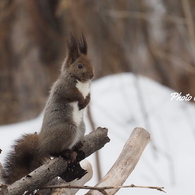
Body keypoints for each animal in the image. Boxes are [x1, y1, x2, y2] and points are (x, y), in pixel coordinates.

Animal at [2, 34, 94, 184]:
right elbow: (71, 94)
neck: (82, 84)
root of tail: (41, 145)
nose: (92, 75)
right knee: (54, 151)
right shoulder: (63, 87)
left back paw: (77, 145)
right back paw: (66, 153)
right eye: (80, 65)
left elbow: (89, 96)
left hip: (81, 127)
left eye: (91, 62)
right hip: (67, 130)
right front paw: (81, 100)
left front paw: (86, 101)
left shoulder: (88, 91)